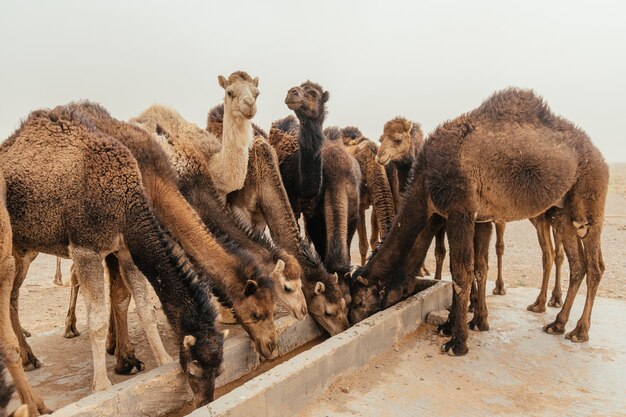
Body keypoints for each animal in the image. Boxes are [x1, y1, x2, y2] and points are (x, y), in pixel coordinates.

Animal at [0, 106, 224, 412]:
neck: (125, 198)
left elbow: (144, 308)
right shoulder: (86, 248)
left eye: (219, 370)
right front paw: (101, 385)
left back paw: (30, 359)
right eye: (193, 370)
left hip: (22, 247)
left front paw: (162, 360)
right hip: (14, 245)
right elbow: (95, 321)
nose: (204, 402)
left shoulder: (126, 249)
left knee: (13, 297)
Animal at [354, 88, 608, 354]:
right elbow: (478, 268)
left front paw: (457, 342)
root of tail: (599, 155)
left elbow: (459, 272)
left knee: (594, 265)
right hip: (561, 212)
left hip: (589, 197)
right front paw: (468, 322)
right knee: (577, 264)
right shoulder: (476, 218)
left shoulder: (459, 209)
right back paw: (557, 323)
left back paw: (579, 331)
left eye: (359, 301)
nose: (351, 320)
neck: (424, 185)